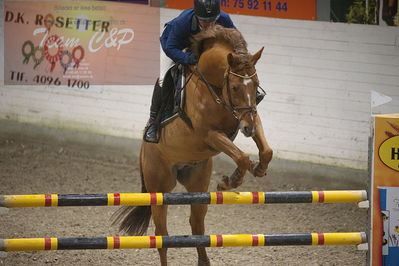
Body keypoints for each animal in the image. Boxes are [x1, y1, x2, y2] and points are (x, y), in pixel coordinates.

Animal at [114, 25, 274, 266]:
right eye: (235, 87)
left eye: (255, 85)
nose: (247, 129)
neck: (213, 87)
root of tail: (143, 152)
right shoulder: (209, 135)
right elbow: (242, 156)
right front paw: (230, 181)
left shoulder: (251, 118)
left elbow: (266, 150)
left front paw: (259, 169)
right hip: (159, 189)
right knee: (162, 236)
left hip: (198, 183)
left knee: (197, 225)